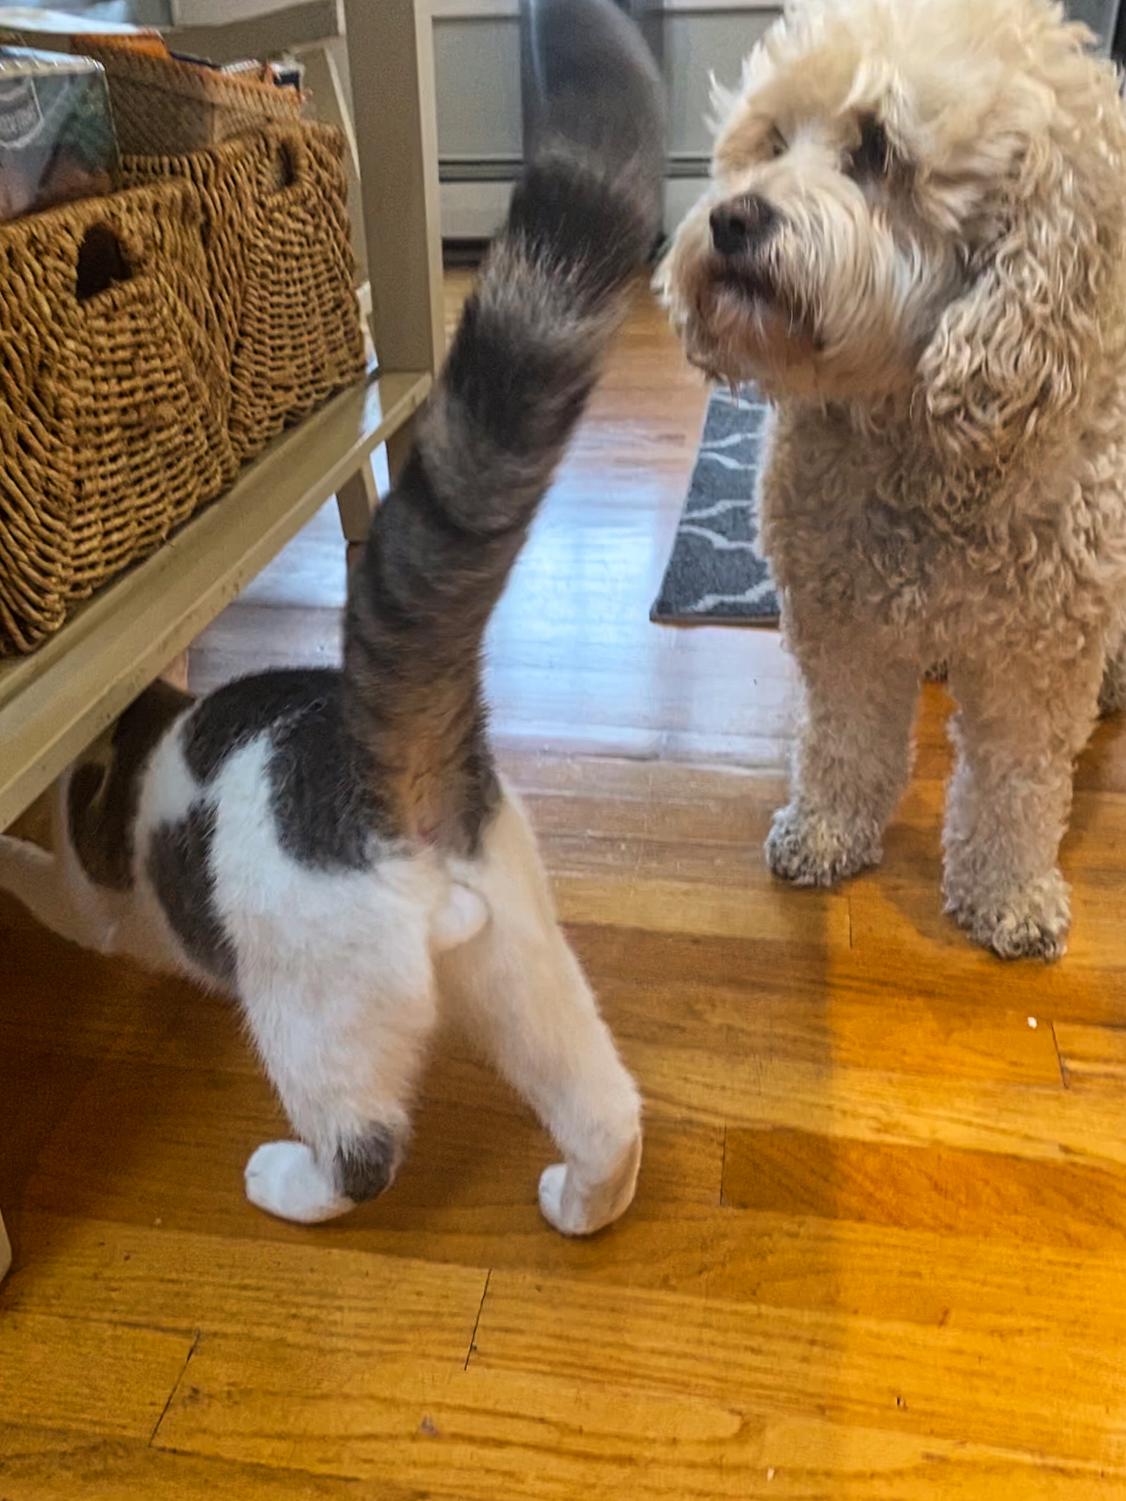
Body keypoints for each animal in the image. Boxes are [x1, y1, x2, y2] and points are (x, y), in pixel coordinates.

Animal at [0, 0, 666, 1236]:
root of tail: (383, 738)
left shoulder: (88, 901)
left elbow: (39, 879)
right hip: (523, 964)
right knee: (606, 1105)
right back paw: (581, 1196)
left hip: (309, 1004)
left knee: (364, 1148)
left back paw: (288, 1180)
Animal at [660, 0, 1126, 960]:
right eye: (771, 141)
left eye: (875, 149)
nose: (730, 220)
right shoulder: (838, 616)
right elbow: (845, 736)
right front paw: (828, 829)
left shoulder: (1040, 648)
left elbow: (1019, 783)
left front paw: (1010, 892)